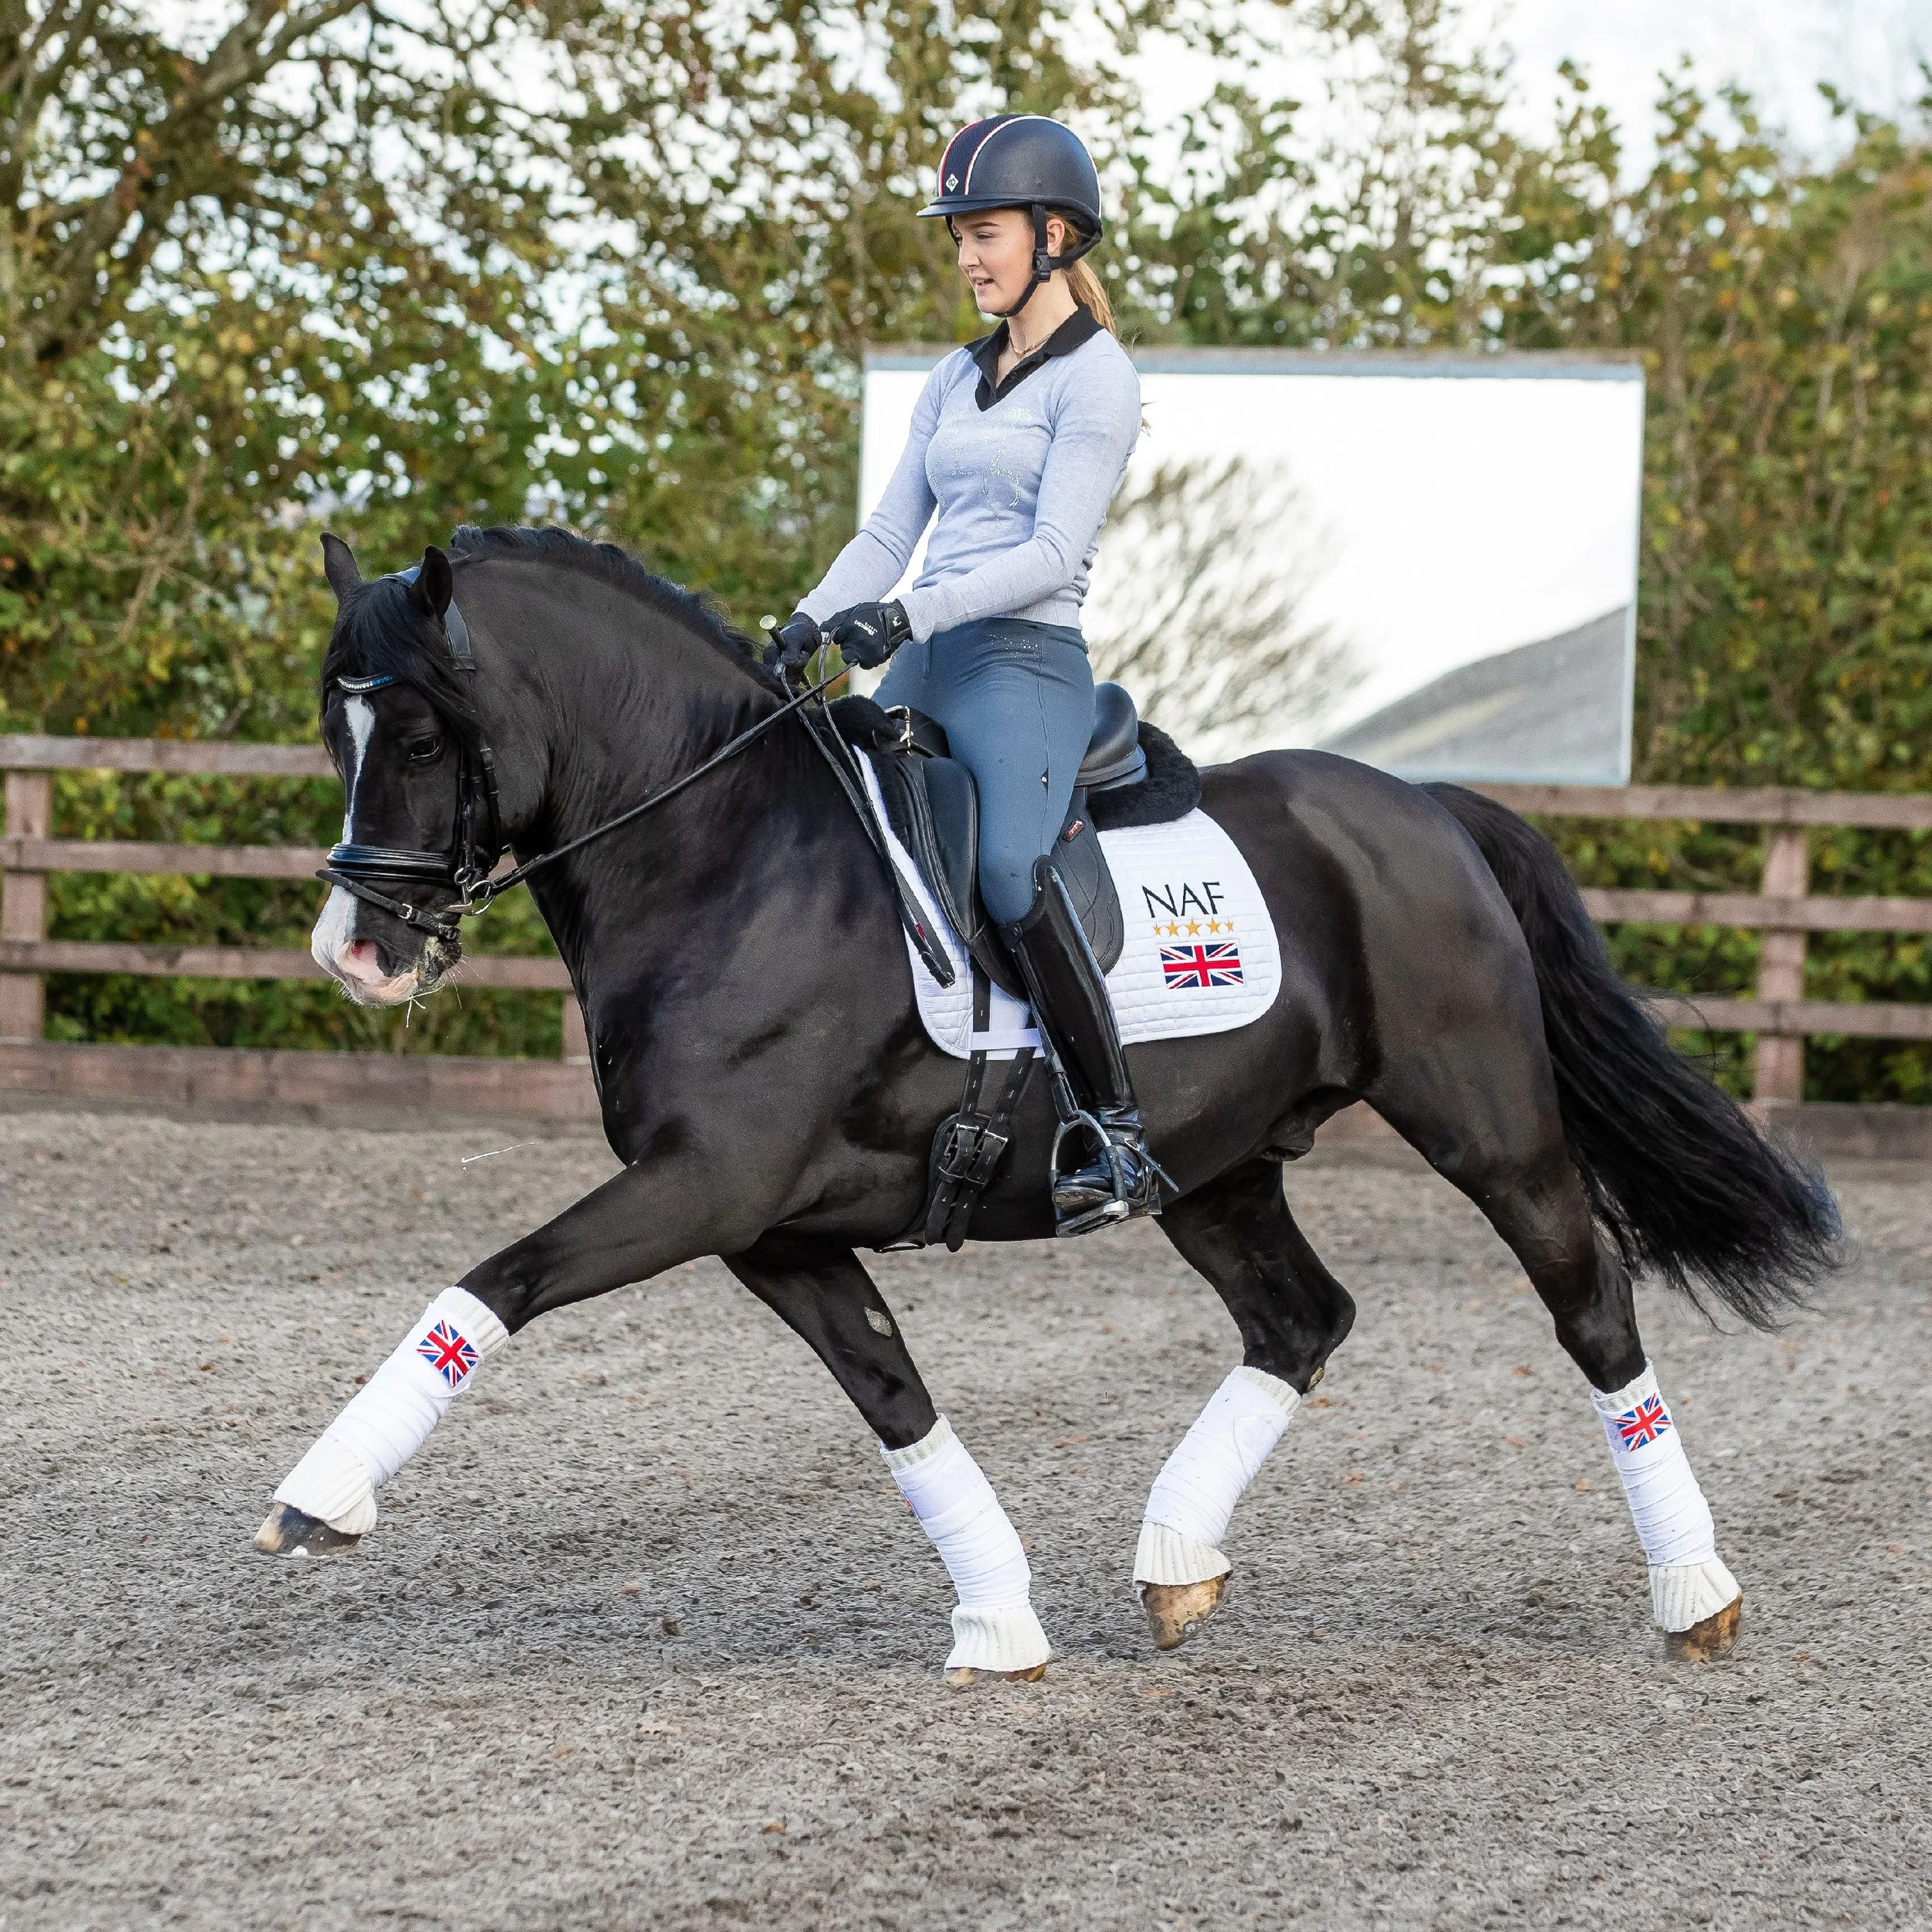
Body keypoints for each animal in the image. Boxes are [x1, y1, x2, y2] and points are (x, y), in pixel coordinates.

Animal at [256, 522, 1838, 1681]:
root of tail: (1426, 806)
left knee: (1591, 1309)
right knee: (1300, 1319)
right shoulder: (772, 1228)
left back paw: (1696, 1593)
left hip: (1489, 1125)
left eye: (417, 739)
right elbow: (894, 1396)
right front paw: (1002, 1619)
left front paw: (320, 1495)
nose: (354, 953)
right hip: (1214, 1168)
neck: (724, 849)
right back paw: (1177, 1565)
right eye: (337, 736)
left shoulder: (704, 1185)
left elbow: (498, 1282)